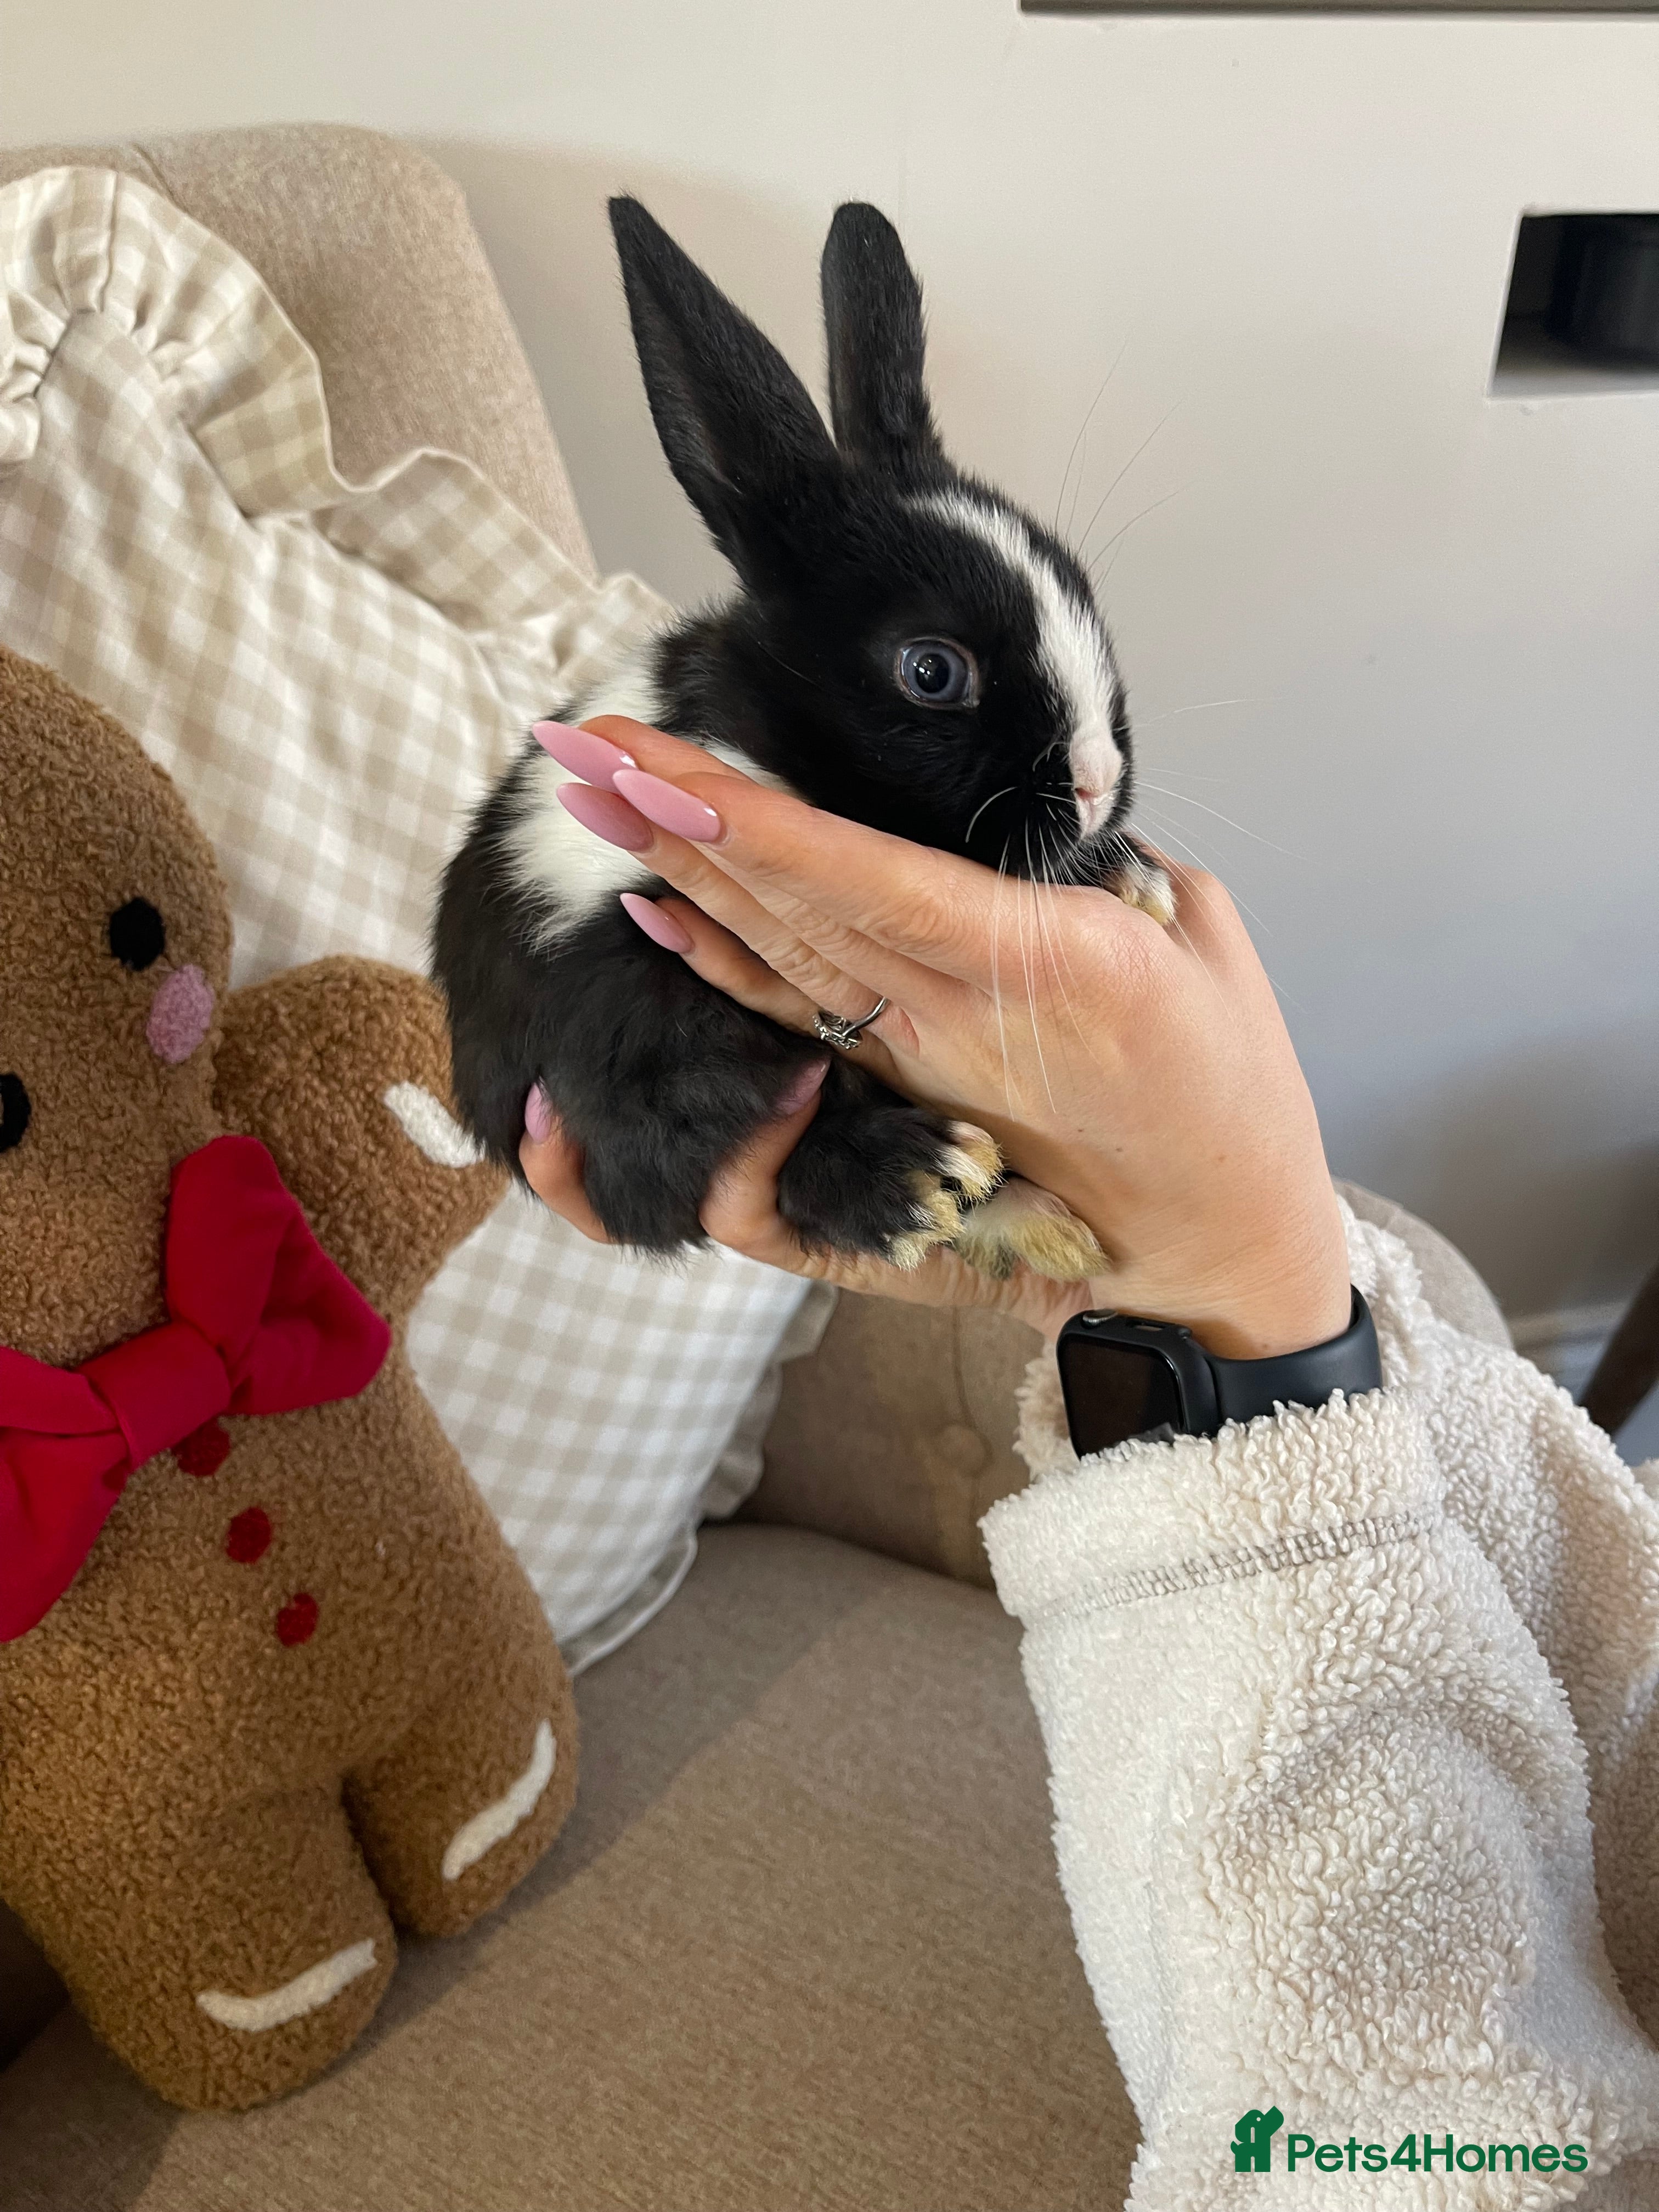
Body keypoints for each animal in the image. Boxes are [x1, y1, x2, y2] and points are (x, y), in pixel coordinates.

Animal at [432, 196, 1174, 1283]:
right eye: (930, 671)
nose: (1094, 785)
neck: (765, 750)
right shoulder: (623, 1016)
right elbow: (721, 1131)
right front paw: (912, 1185)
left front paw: (1129, 878)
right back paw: (956, 1187)